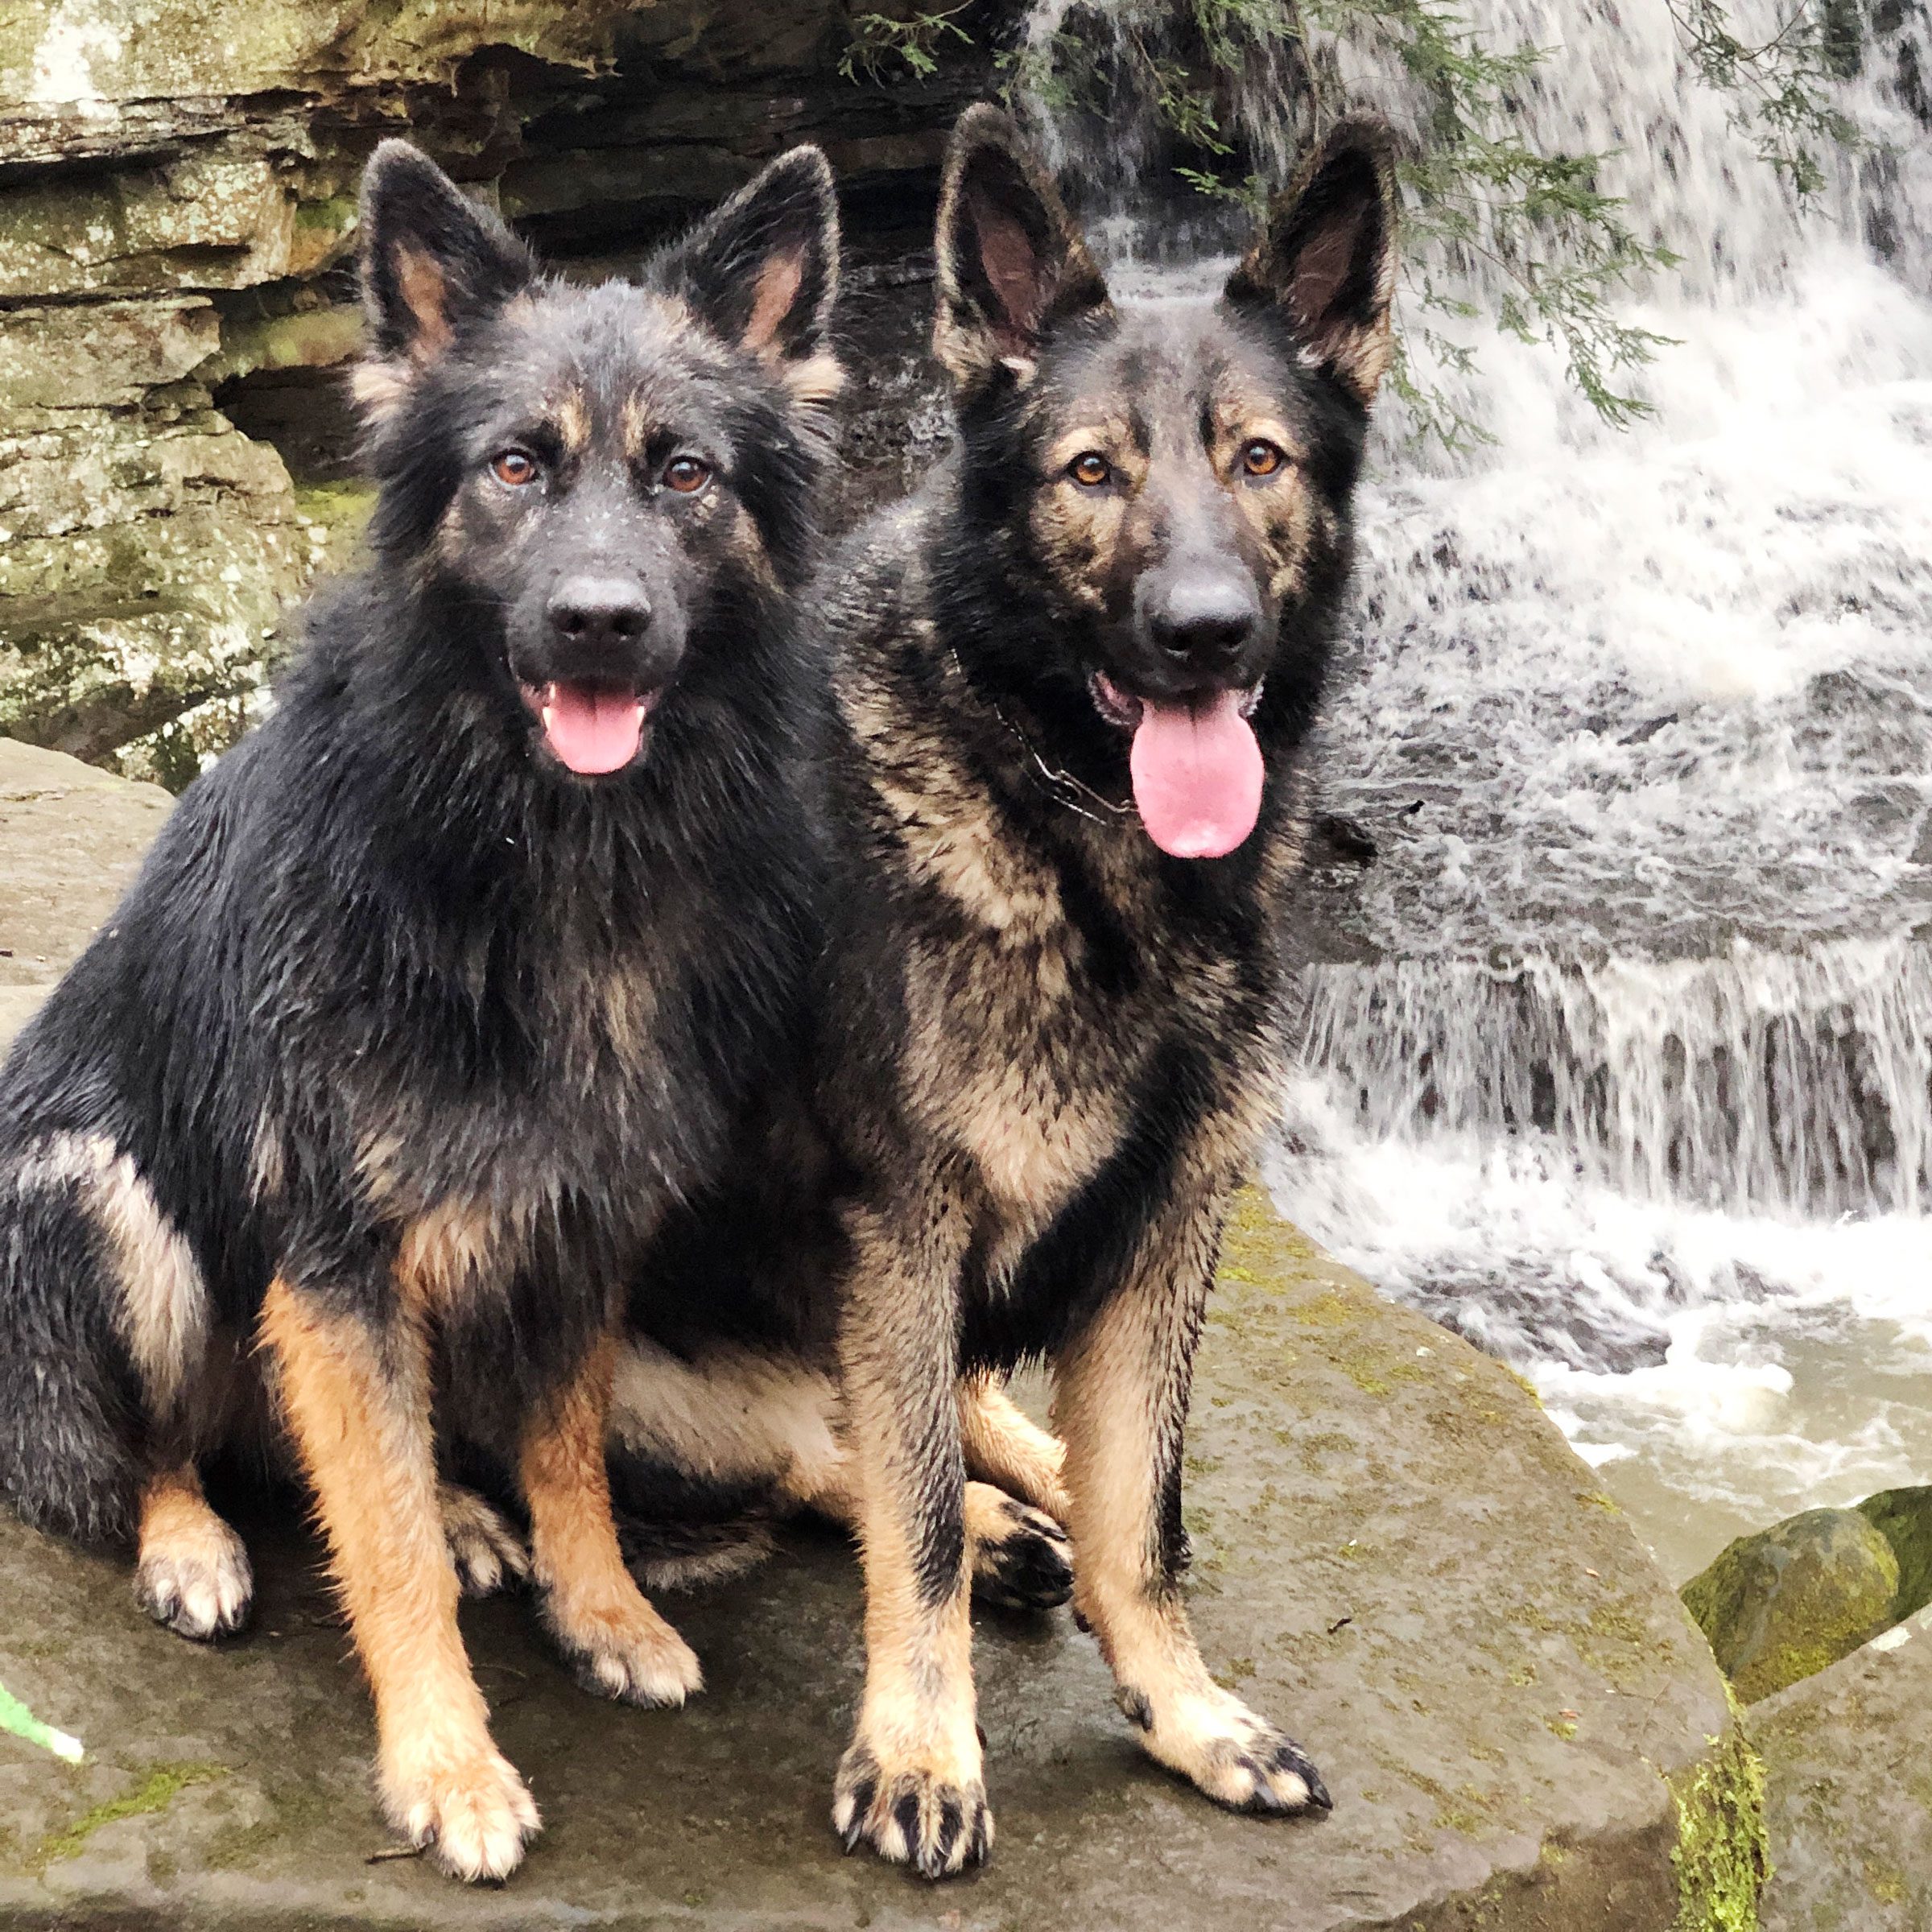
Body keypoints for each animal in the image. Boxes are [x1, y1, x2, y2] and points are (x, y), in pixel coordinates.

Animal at [0, 140, 846, 1885]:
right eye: (517, 466)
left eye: (685, 475)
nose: (599, 621)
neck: (547, 858)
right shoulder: (333, 1258)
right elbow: (372, 1539)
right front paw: (448, 1767)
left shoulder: (583, 1214)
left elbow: (566, 1444)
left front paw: (603, 1606)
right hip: (107, 1199)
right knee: (144, 1452)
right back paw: (190, 1541)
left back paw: (470, 1517)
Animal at [807, 105, 1398, 1870]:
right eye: (1092, 473)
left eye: (1261, 461)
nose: (1206, 634)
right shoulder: (901, 1224)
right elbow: (913, 1519)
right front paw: (923, 1750)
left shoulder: (1167, 1225)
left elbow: (1143, 1510)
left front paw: (1184, 1710)